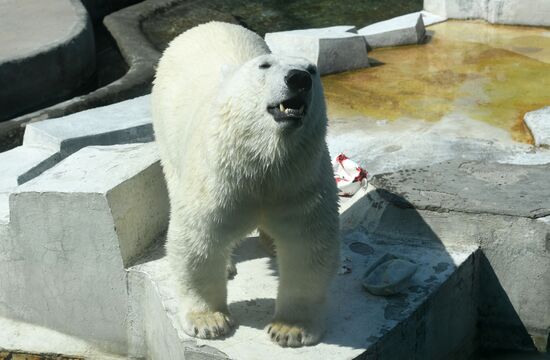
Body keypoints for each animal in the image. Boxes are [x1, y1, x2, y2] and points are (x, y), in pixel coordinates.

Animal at [152, 21, 340, 348]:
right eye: (265, 66)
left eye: (312, 70)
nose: (298, 79)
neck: (260, 159)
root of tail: (205, 24)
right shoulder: (217, 178)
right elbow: (197, 238)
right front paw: (209, 322)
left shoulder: (300, 181)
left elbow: (308, 244)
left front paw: (290, 329)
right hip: (165, 131)